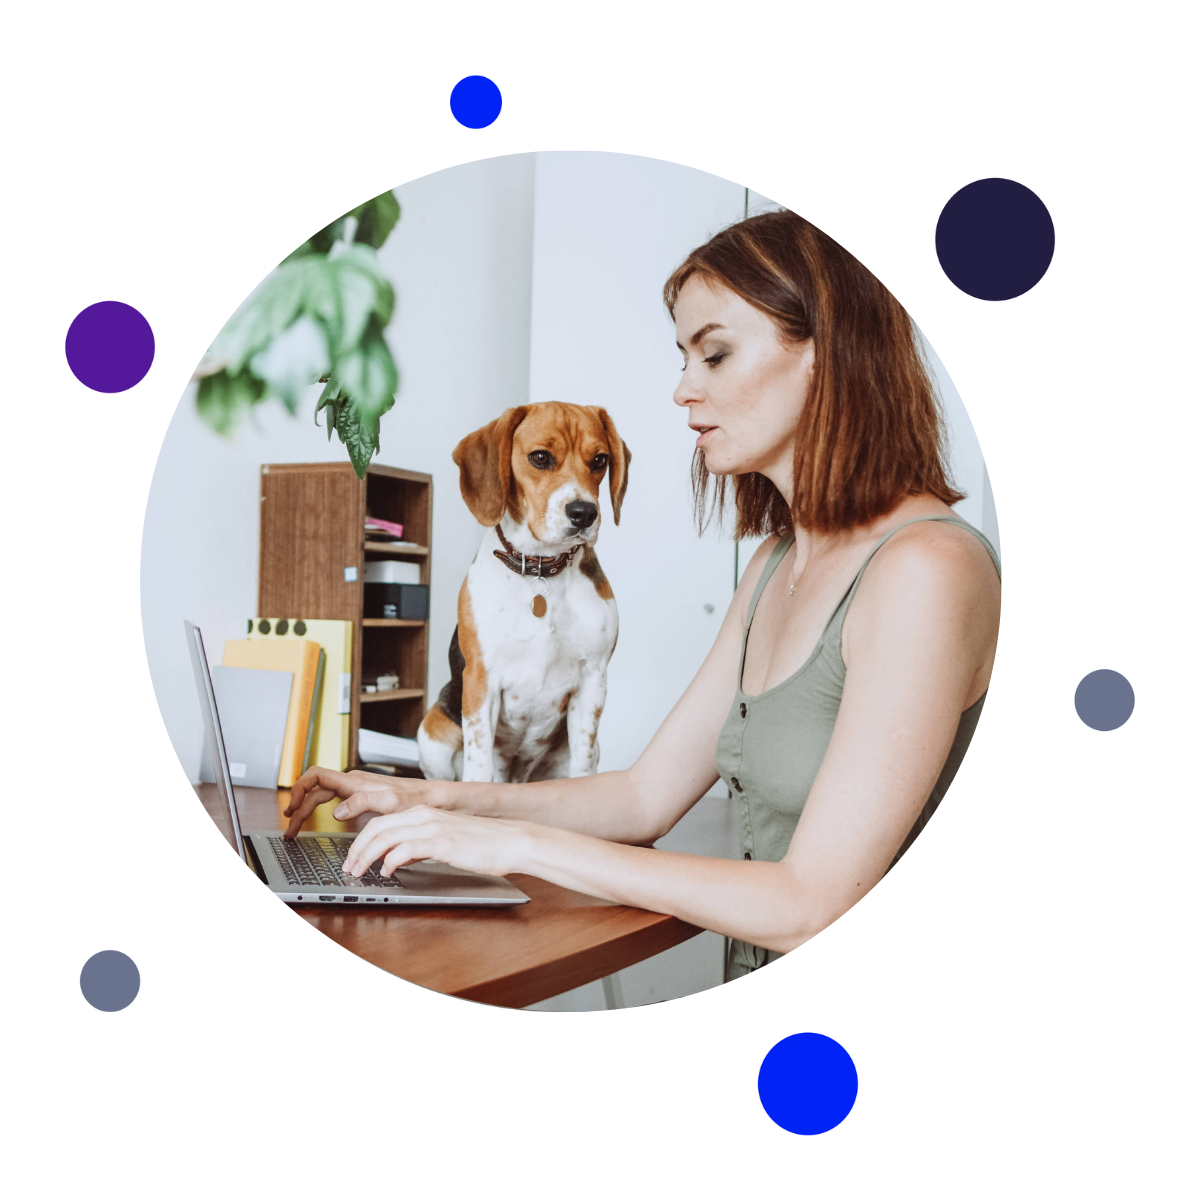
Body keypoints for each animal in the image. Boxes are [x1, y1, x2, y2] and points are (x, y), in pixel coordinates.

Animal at [417, 398, 633, 782]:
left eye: (599, 461)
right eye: (540, 458)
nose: (584, 513)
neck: (540, 571)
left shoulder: (592, 681)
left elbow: (582, 765)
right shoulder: (481, 680)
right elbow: (478, 764)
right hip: (432, 733)